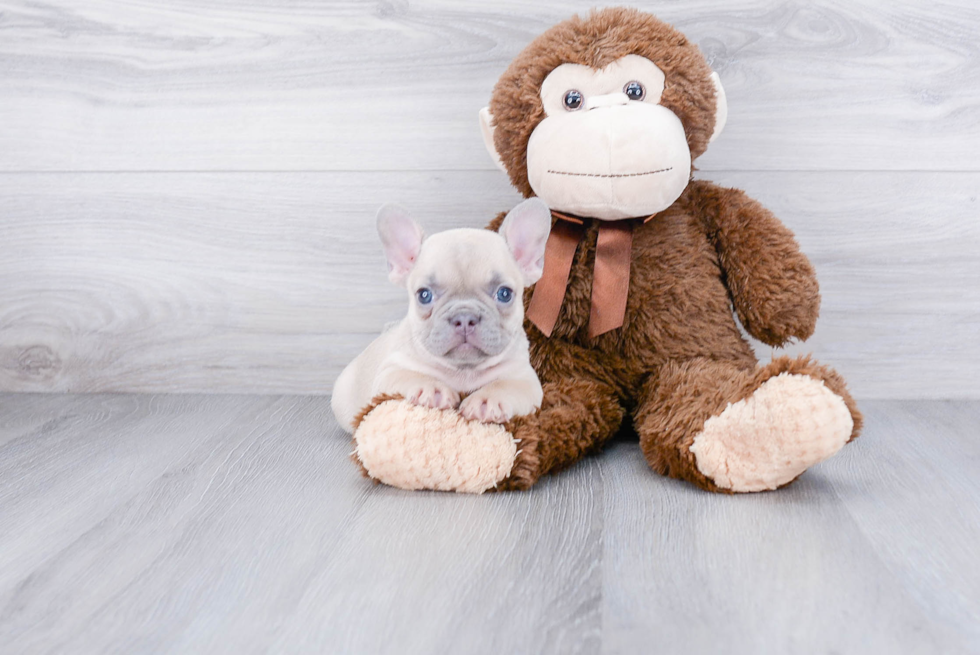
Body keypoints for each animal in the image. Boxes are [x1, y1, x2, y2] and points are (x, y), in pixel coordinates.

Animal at [334, 200, 556, 436]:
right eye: (424, 295)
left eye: (504, 294)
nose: (464, 317)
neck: (464, 371)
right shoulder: (389, 372)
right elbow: (410, 375)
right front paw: (431, 389)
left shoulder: (525, 379)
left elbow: (505, 385)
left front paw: (487, 400)